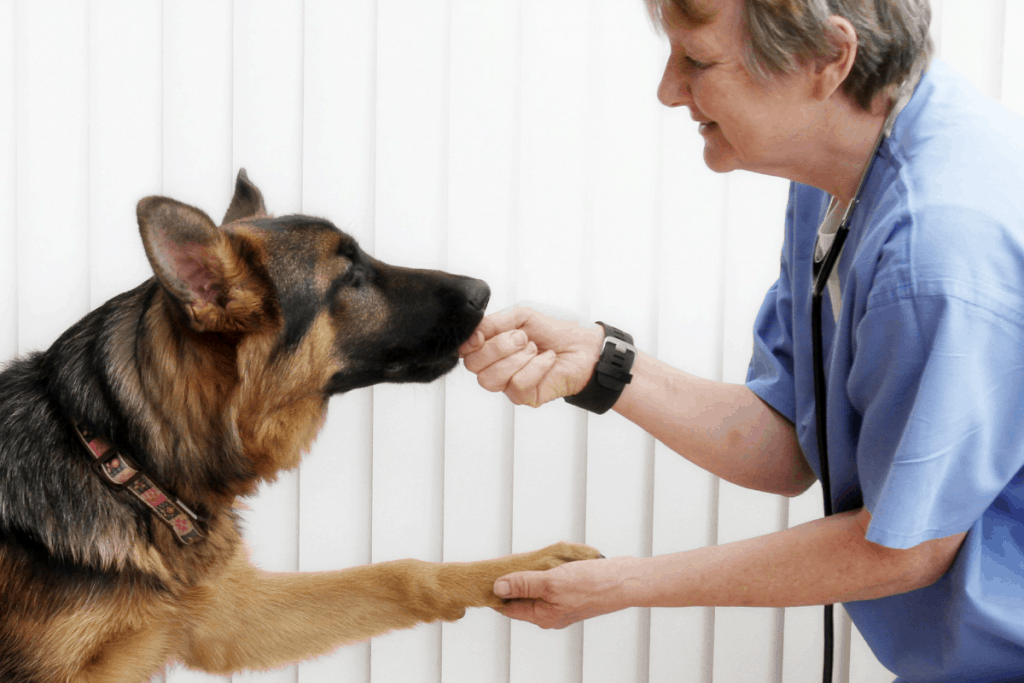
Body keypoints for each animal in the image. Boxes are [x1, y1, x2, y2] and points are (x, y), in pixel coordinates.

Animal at [0, 172, 598, 683]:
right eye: (349, 276)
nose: (483, 291)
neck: (118, 459)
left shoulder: (232, 619)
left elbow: (402, 573)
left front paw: (531, 567)